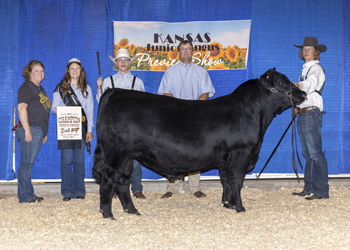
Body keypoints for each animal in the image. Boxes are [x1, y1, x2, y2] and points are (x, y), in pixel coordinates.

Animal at [93, 68, 306, 219]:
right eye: (281, 82)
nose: (303, 94)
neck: (252, 111)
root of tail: (115, 92)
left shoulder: (226, 159)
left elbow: (227, 181)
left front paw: (227, 205)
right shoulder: (241, 153)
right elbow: (237, 181)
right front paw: (240, 208)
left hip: (128, 156)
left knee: (122, 181)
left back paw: (132, 211)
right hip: (117, 153)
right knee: (110, 179)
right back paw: (108, 214)